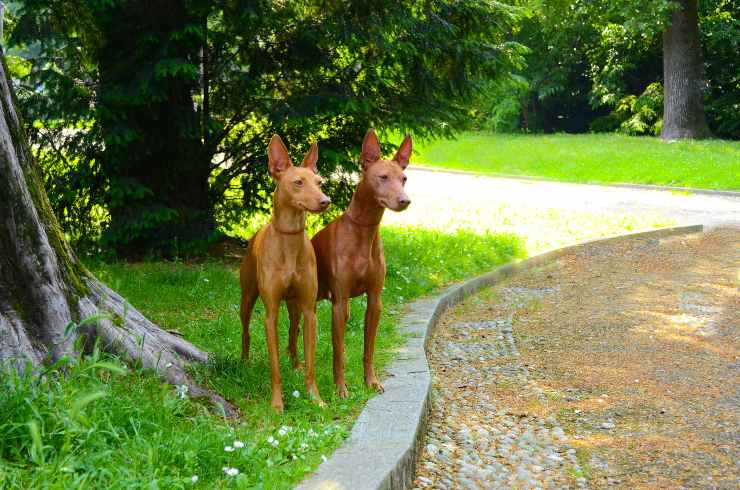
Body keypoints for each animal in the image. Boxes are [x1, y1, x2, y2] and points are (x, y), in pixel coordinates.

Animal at [240, 133, 330, 410]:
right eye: (298, 182)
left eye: (319, 182)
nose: (325, 201)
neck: (289, 240)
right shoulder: (270, 314)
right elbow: (274, 366)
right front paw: (277, 404)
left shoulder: (310, 310)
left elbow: (311, 363)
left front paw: (315, 398)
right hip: (247, 299)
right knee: (245, 331)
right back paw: (243, 361)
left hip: (295, 305)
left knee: (293, 332)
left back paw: (295, 363)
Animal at [304, 130, 414, 398]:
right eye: (383, 177)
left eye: (404, 178)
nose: (405, 201)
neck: (364, 231)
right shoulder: (339, 301)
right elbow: (338, 352)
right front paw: (340, 389)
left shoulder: (375, 300)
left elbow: (369, 348)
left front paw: (370, 381)